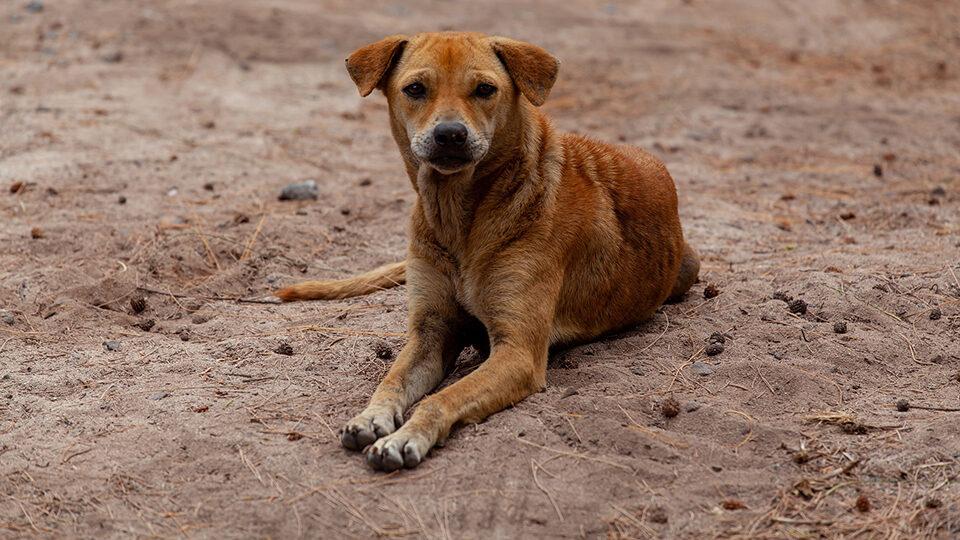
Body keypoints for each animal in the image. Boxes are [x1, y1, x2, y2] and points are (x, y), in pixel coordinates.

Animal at [278, 32, 696, 472]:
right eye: (415, 89)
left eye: (484, 89)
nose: (450, 134)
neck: (459, 217)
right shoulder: (431, 332)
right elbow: (391, 381)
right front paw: (370, 417)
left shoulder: (518, 353)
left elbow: (440, 398)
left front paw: (406, 436)